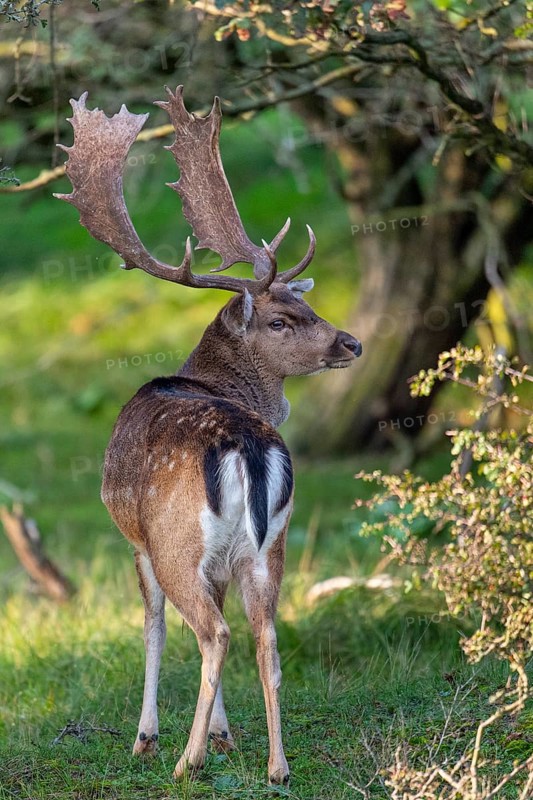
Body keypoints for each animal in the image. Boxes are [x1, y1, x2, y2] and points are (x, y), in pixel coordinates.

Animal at [56, 85, 362, 785]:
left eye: (303, 307)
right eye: (284, 318)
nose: (351, 342)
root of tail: (249, 444)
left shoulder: (137, 538)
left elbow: (150, 624)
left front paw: (149, 737)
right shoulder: (226, 555)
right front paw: (225, 734)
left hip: (175, 540)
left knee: (212, 631)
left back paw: (183, 760)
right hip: (271, 543)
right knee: (265, 631)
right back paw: (277, 766)